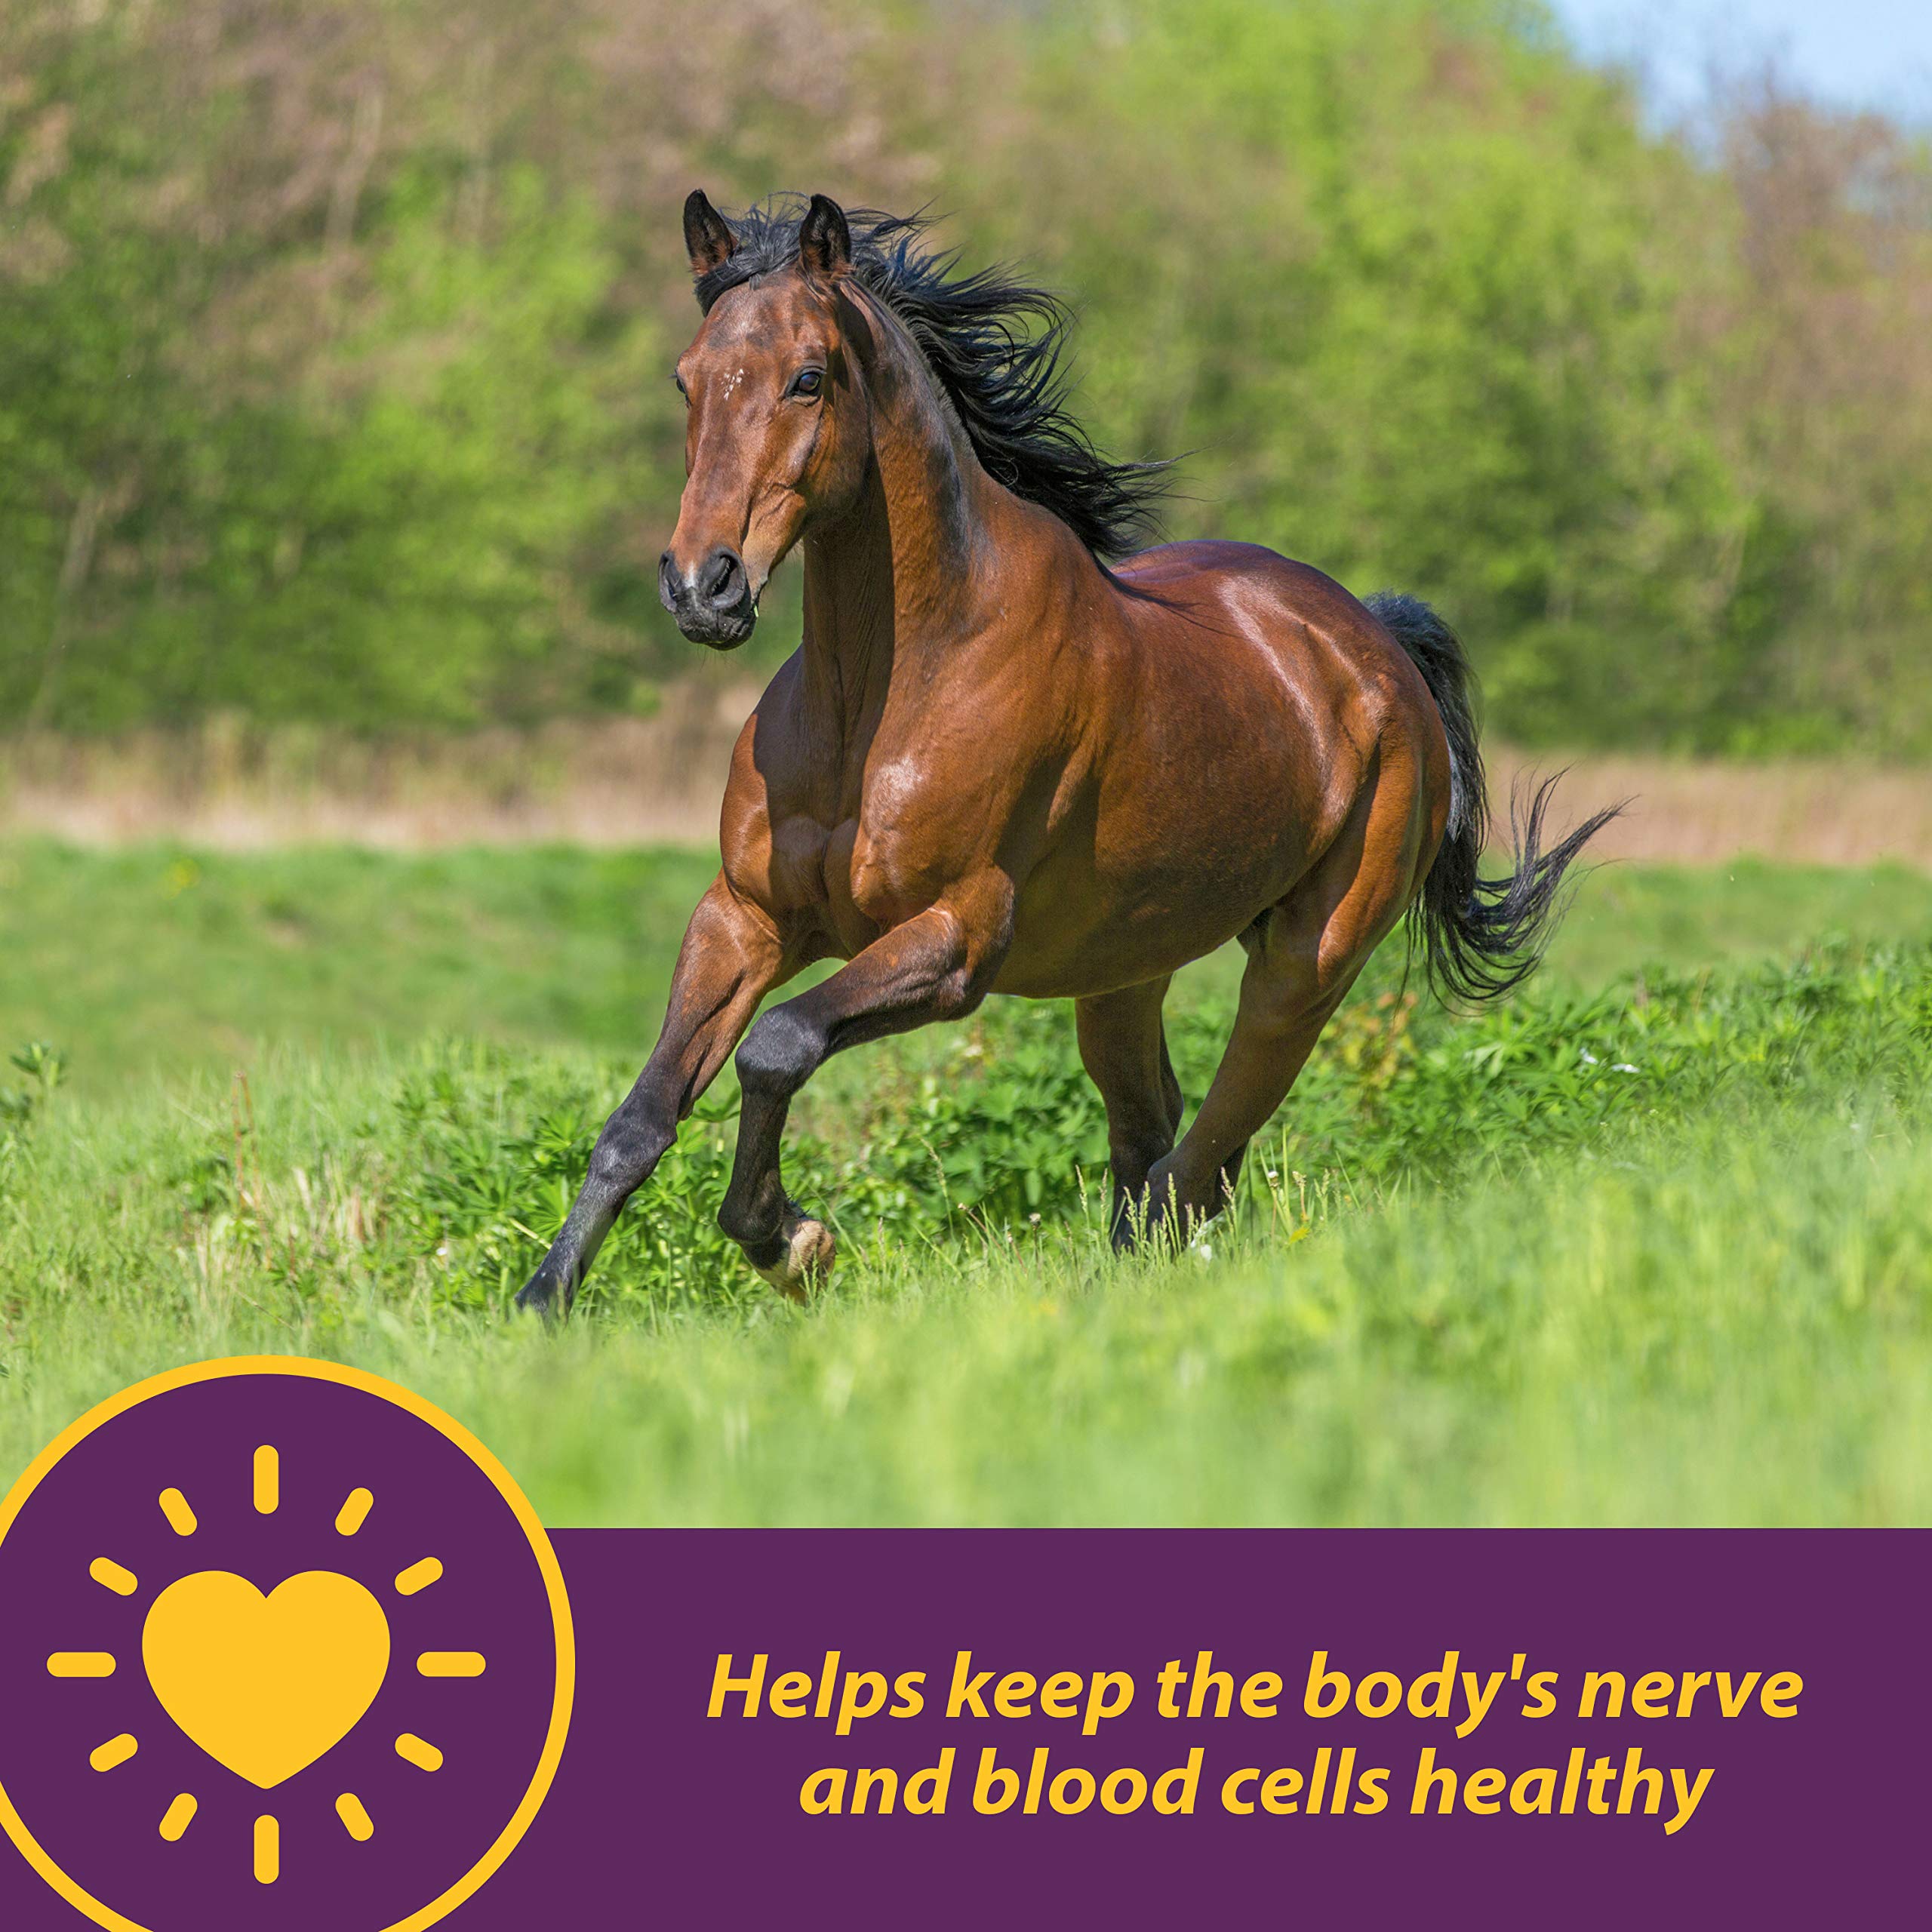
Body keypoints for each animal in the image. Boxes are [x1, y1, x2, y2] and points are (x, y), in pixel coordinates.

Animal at [516, 190, 1616, 1316]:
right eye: (687, 378)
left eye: (808, 377)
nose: (704, 586)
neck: (882, 697)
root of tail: (1378, 644)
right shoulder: (744, 917)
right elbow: (640, 1119)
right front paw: (544, 1301)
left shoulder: (957, 939)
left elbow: (778, 1047)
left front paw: (794, 1241)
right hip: (1123, 970)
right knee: (1153, 1132)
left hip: (1306, 963)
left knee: (1201, 1158)